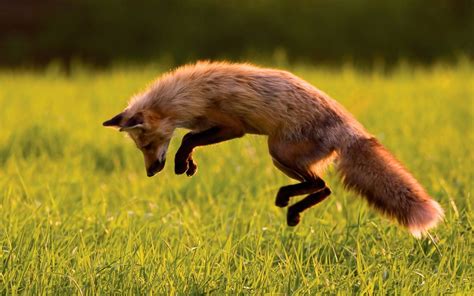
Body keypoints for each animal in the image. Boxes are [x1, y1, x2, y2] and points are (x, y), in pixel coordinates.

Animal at [103, 60, 444, 238]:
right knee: (324, 188)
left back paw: (288, 205)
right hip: (282, 156)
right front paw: (188, 165)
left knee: (321, 185)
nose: (151, 172)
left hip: (277, 150)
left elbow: (187, 139)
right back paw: (292, 209)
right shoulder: (213, 127)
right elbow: (189, 140)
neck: (188, 96)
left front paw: (181, 162)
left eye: (147, 145)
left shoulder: (232, 127)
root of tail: (351, 129)